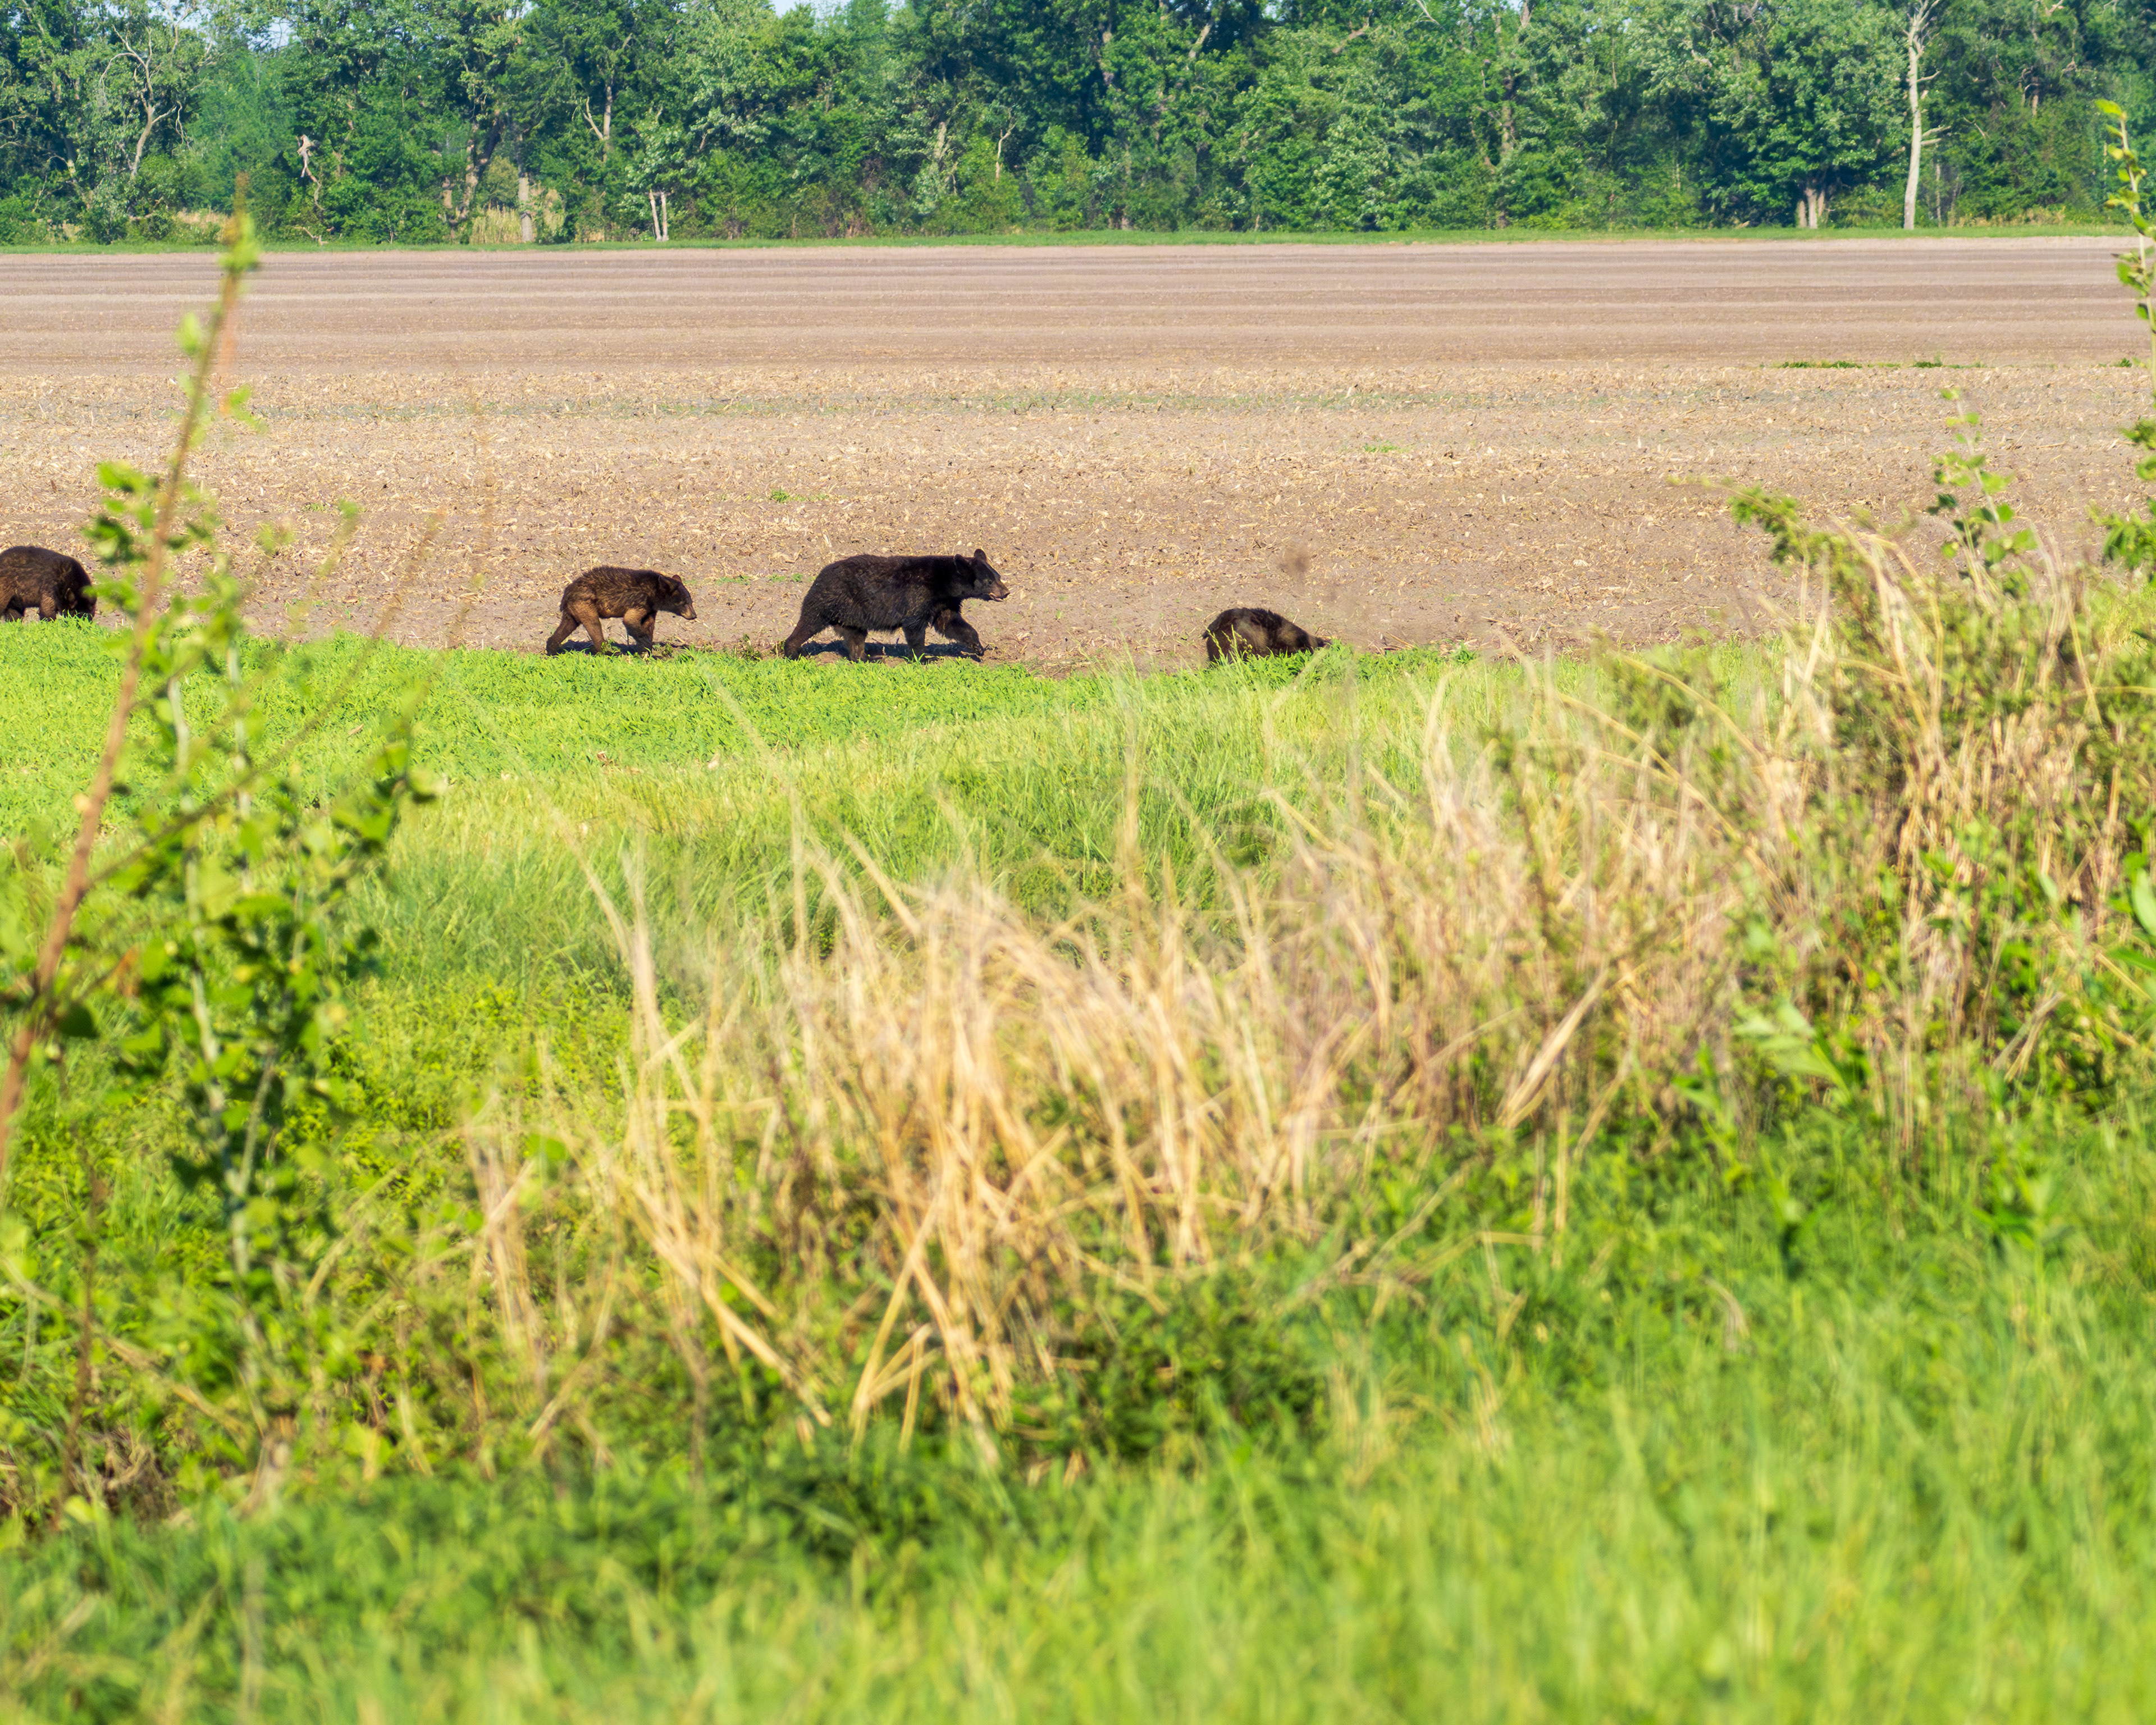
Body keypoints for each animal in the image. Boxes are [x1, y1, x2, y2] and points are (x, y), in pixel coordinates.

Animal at [544, 566, 697, 655]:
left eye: (691, 602)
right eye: (684, 603)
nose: (694, 615)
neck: (654, 593)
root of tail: (567, 593)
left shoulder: (650, 609)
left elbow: (649, 626)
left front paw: (647, 652)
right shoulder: (640, 601)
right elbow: (630, 622)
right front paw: (647, 648)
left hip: (574, 610)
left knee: (566, 627)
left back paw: (552, 651)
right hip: (585, 604)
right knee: (594, 626)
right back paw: (607, 653)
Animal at [780, 549, 1009, 662]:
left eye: (998, 576)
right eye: (989, 581)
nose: (1006, 592)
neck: (943, 583)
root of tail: (819, 576)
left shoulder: (944, 603)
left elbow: (951, 623)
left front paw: (978, 647)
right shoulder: (919, 595)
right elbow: (914, 627)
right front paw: (924, 658)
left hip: (853, 616)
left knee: (855, 637)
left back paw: (868, 658)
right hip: (828, 602)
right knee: (809, 623)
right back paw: (793, 652)